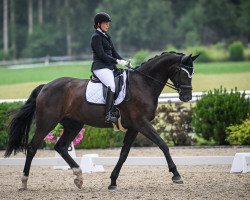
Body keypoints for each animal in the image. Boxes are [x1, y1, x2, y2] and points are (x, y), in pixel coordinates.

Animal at [3, 51, 199, 191]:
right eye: (184, 73)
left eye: (192, 74)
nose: (187, 97)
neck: (143, 84)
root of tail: (45, 87)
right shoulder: (142, 123)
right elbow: (163, 144)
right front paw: (176, 175)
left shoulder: (134, 127)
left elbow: (124, 154)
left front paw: (112, 182)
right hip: (47, 122)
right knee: (32, 148)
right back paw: (24, 182)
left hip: (73, 124)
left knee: (61, 147)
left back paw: (79, 177)